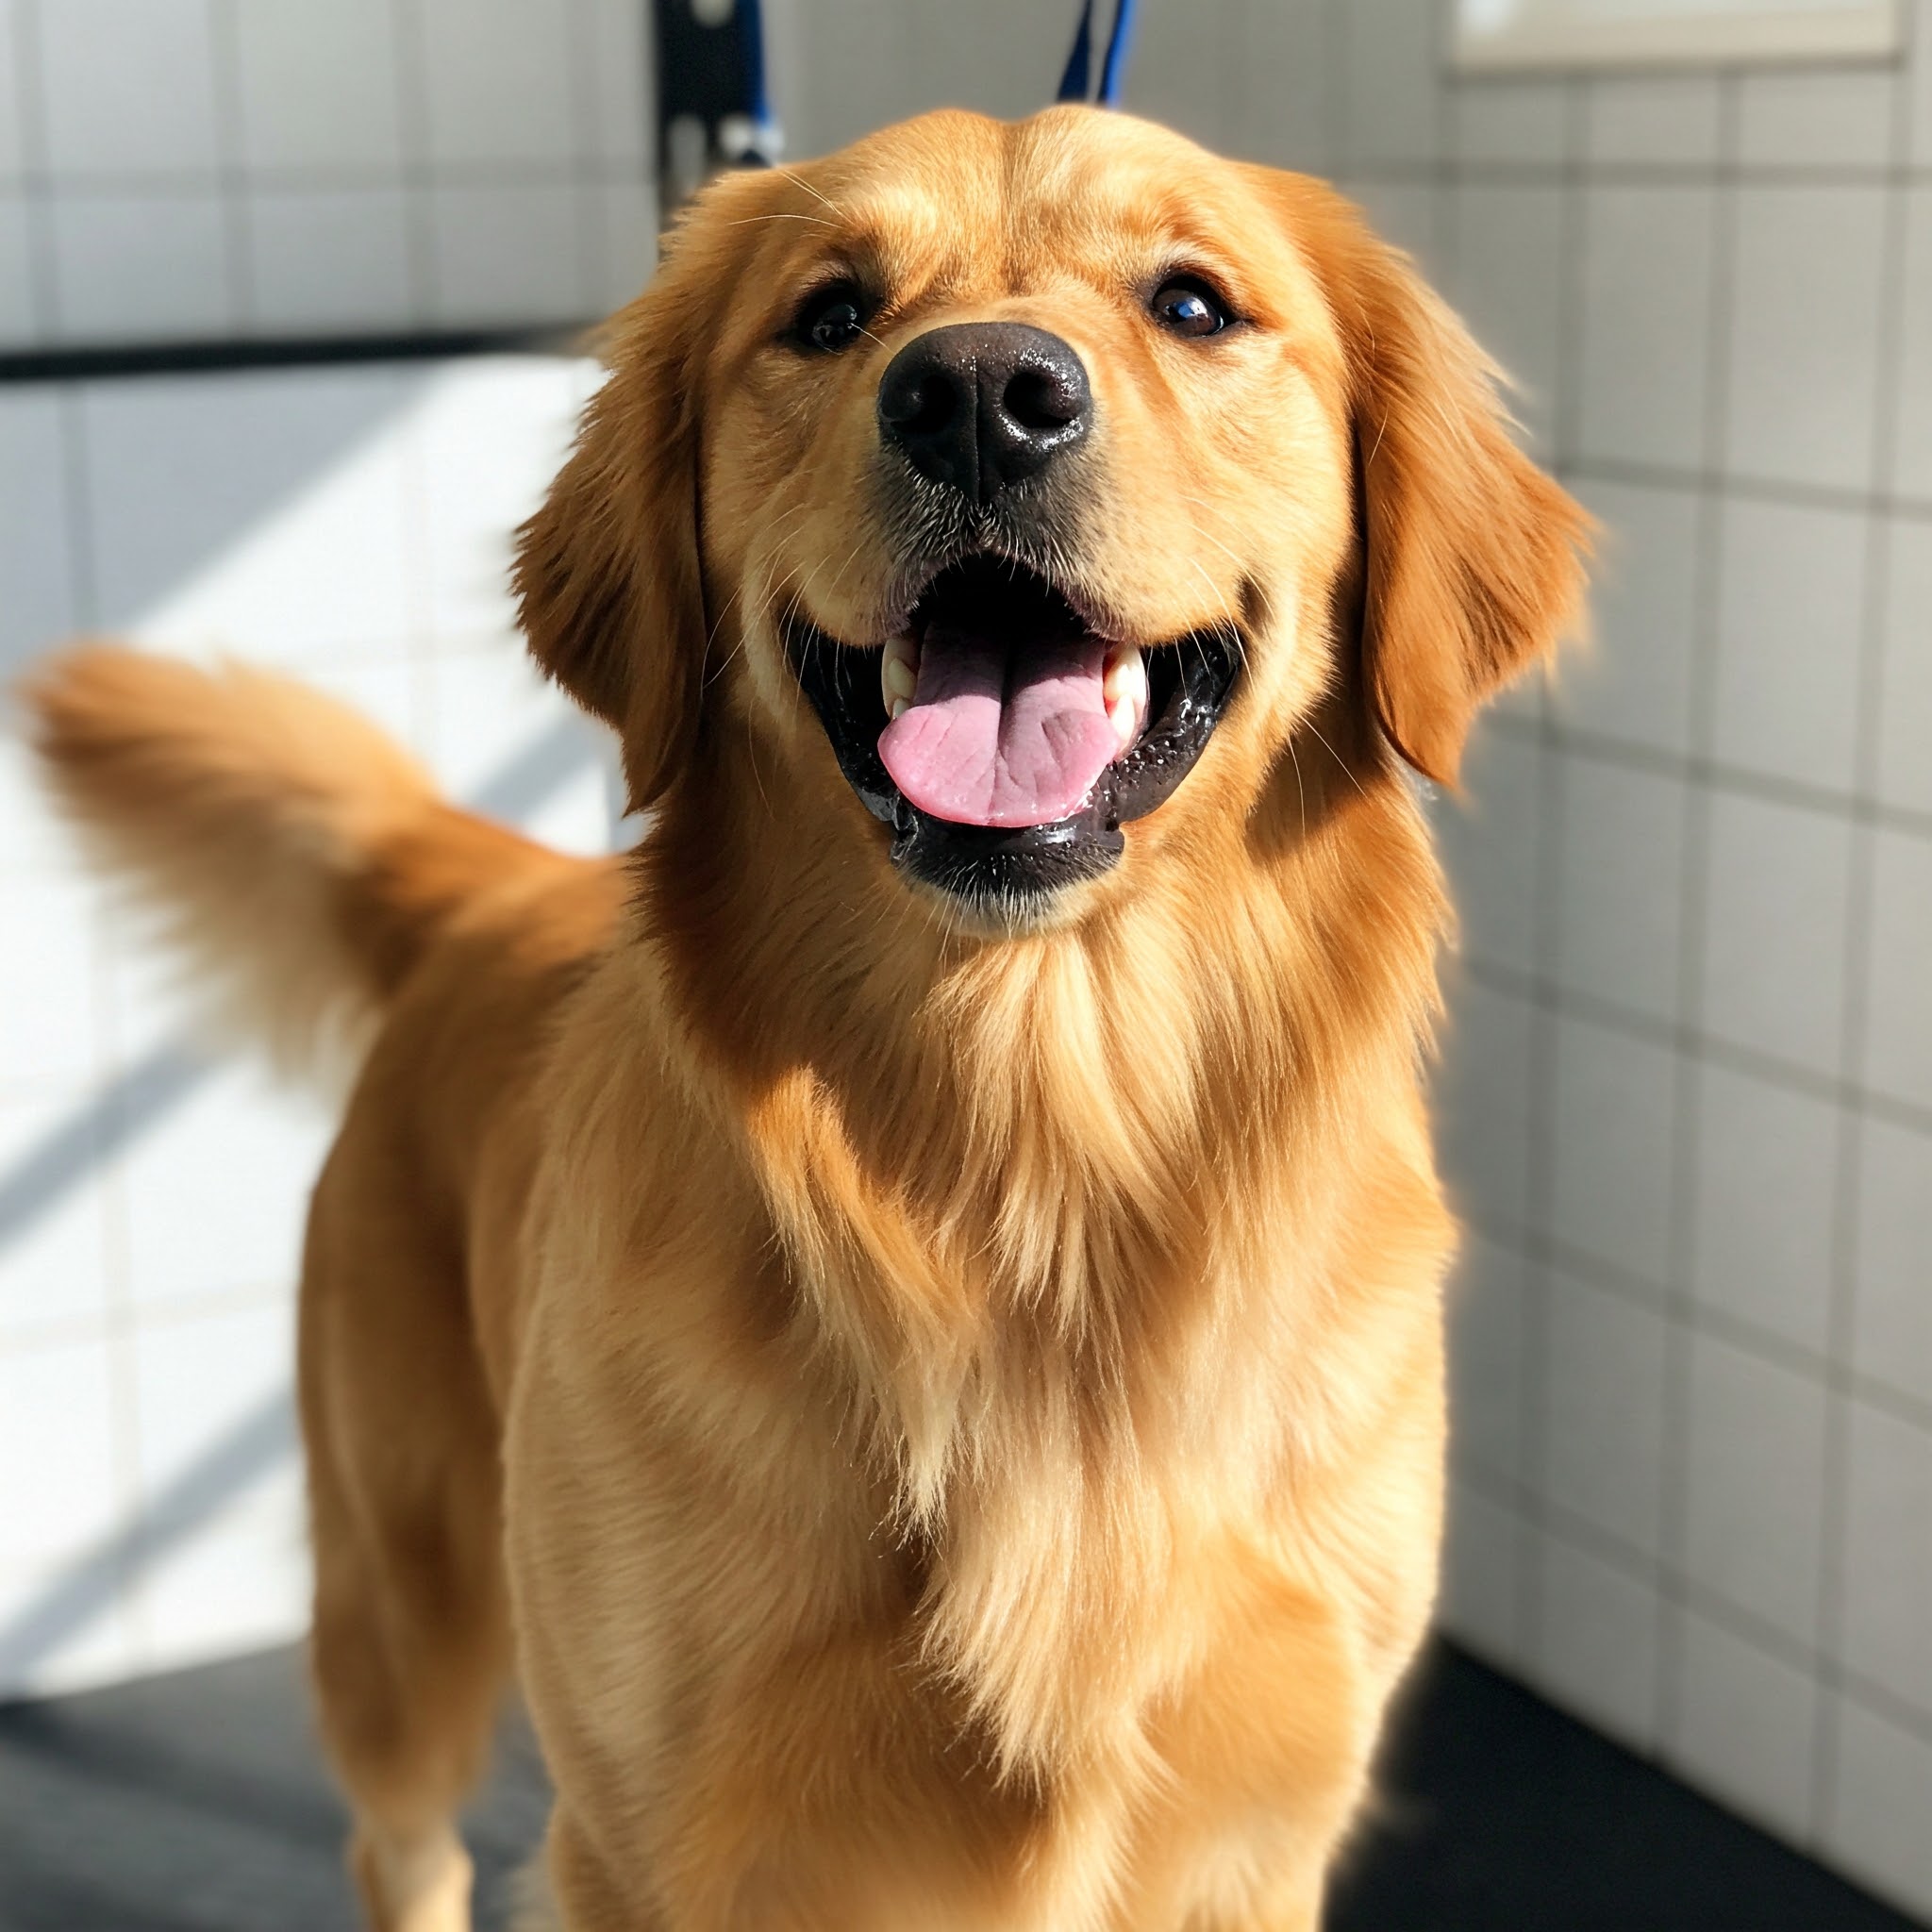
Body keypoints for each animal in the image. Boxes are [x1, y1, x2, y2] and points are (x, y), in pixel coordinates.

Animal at [26, 109, 1584, 1932]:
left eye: (1193, 302)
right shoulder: (648, 1836)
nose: (979, 393)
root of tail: (486, 889)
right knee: (401, 1841)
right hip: (403, 1608)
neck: (1030, 1157)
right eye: (831, 315)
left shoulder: (1255, 1836)